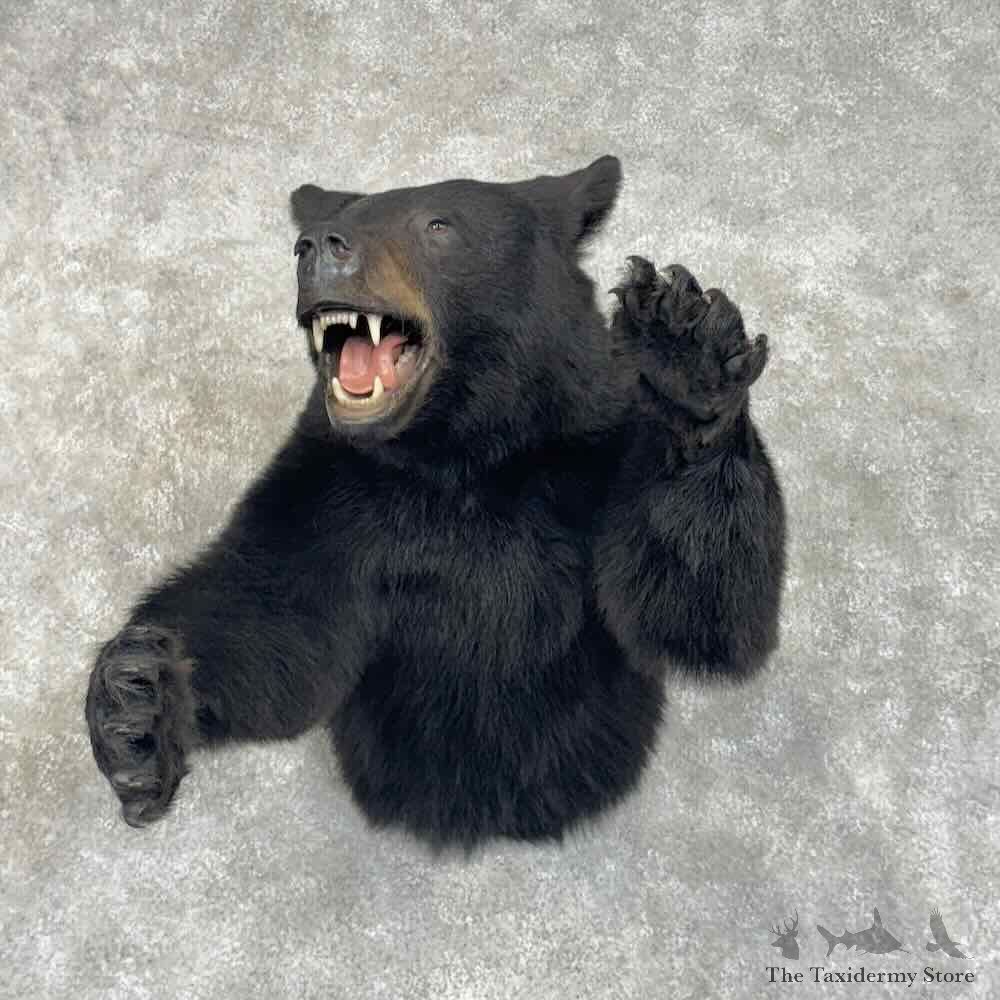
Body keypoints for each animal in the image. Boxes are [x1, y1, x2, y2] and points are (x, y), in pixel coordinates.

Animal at [85, 156, 786, 848]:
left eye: (438, 225)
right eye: (340, 216)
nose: (314, 247)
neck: (461, 455)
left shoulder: (591, 462)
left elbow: (690, 609)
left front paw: (684, 352)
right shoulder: (334, 490)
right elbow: (269, 616)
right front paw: (137, 705)